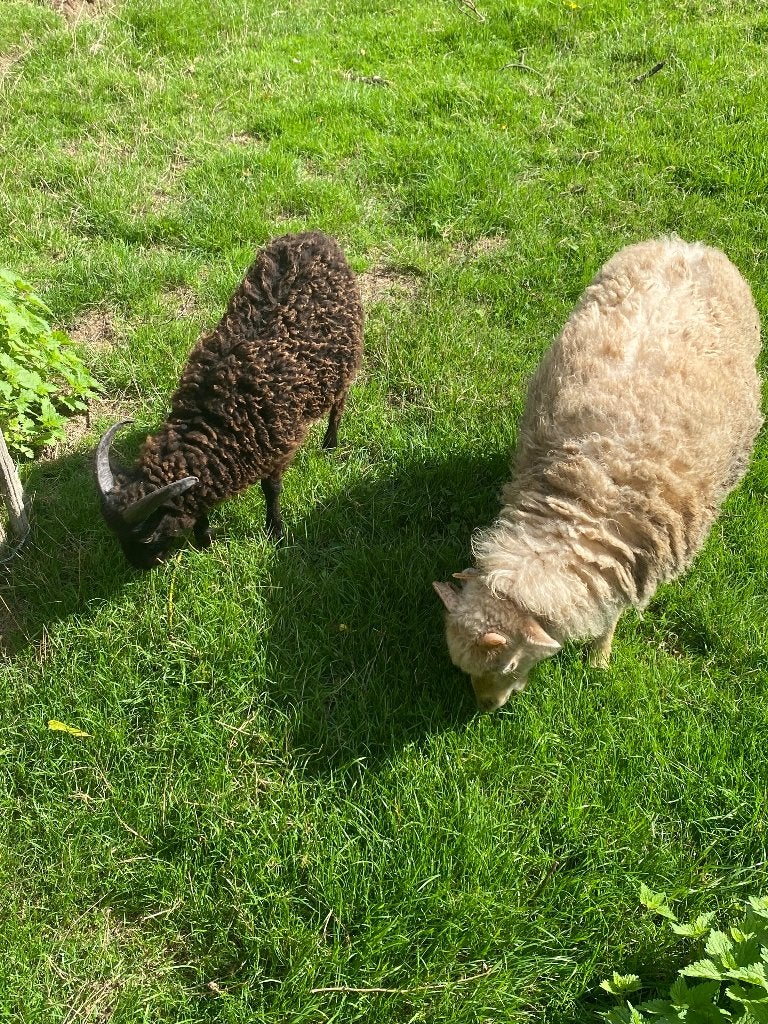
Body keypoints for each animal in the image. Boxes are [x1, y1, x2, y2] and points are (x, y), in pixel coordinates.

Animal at [96, 230, 363, 569]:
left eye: (146, 536)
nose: (140, 566)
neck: (219, 414)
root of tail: (317, 235)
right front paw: (204, 539)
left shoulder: (278, 445)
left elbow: (272, 489)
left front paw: (276, 531)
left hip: (346, 358)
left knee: (339, 401)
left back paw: (330, 443)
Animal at [434, 237, 763, 711]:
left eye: (510, 665)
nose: (486, 709)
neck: (589, 495)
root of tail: (687, 245)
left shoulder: (634, 559)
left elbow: (611, 615)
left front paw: (599, 660)